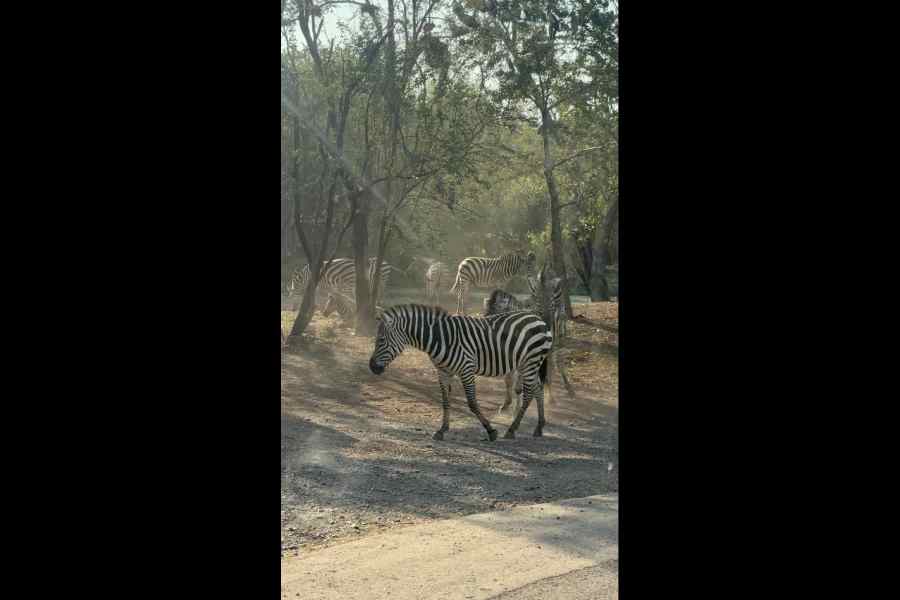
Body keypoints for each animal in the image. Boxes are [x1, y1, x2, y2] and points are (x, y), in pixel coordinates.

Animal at [368, 304, 553, 440]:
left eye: (381, 340)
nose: (372, 367)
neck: (440, 338)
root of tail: (538, 319)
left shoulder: (466, 370)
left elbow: (472, 403)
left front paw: (491, 431)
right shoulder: (443, 372)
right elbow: (445, 402)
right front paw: (442, 430)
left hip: (531, 361)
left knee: (529, 393)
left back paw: (512, 430)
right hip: (526, 363)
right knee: (538, 388)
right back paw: (539, 427)